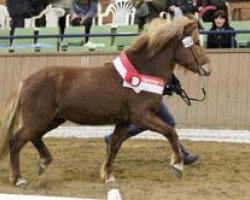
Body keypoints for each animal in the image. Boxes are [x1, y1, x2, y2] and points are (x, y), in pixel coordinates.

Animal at [0, 17, 211, 188]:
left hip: (52, 119)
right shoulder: (142, 116)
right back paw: (19, 179)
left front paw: (108, 176)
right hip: (38, 119)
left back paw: (43, 163)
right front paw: (177, 166)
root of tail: (26, 81)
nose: (207, 69)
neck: (142, 71)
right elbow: (170, 132)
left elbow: (115, 146)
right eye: (196, 42)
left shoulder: (124, 121)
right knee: (16, 141)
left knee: (34, 137)